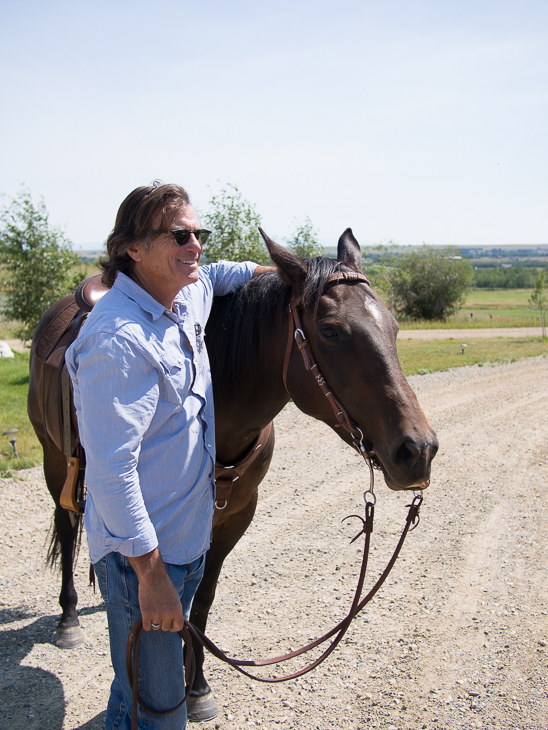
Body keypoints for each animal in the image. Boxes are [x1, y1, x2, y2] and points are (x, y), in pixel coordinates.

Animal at [25, 230, 438, 720]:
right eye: (330, 330)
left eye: (393, 327)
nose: (418, 450)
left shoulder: (235, 517)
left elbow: (201, 603)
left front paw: (198, 688)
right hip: (55, 462)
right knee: (68, 527)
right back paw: (68, 618)